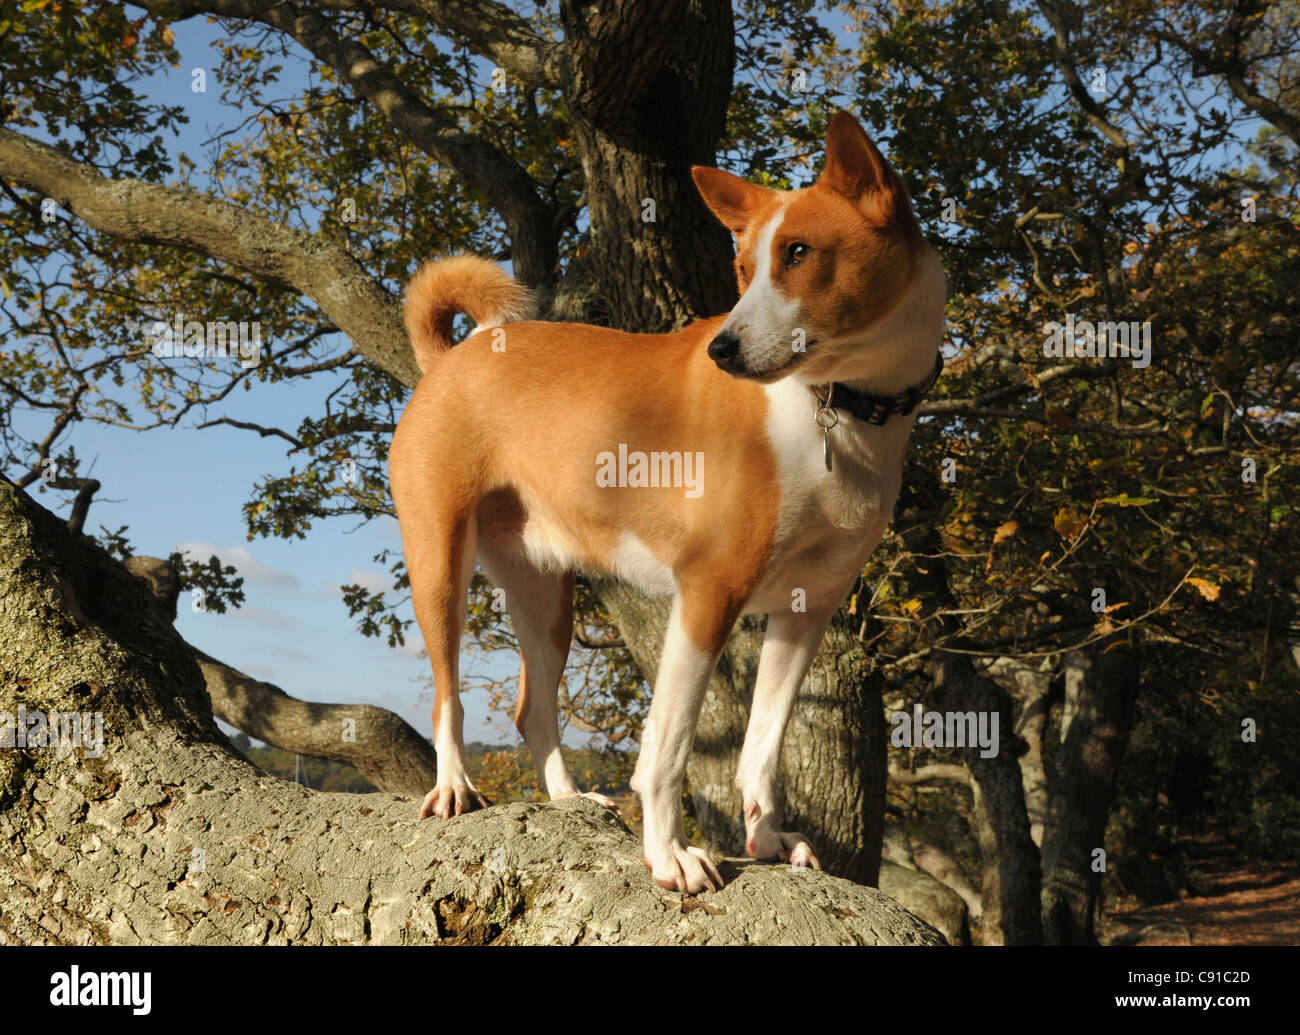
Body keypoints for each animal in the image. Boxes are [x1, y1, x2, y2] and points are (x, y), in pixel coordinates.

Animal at [387, 111, 946, 889]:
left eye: (800, 253)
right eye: (743, 270)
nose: (723, 349)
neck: (835, 411)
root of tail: (450, 359)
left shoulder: (806, 613)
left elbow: (762, 746)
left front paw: (767, 838)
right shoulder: (708, 591)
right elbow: (669, 749)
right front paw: (670, 854)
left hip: (544, 592)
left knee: (532, 709)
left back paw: (567, 798)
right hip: (439, 565)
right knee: (449, 698)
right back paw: (453, 787)